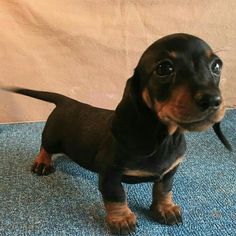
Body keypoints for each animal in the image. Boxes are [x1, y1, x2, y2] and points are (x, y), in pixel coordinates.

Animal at [2, 33, 231, 234]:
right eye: (165, 68)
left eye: (217, 65)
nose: (213, 100)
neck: (165, 139)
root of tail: (67, 101)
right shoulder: (109, 173)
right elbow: (117, 197)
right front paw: (122, 219)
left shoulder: (170, 171)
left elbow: (164, 190)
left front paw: (165, 209)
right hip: (53, 138)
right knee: (45, 146)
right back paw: (42, 162)